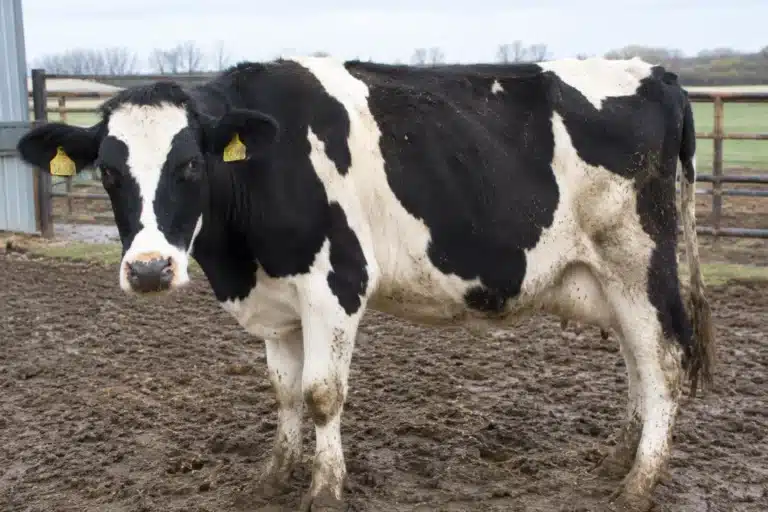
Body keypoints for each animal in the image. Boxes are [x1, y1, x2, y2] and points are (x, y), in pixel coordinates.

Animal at [17, 56, 715, 511]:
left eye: (190, 164)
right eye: (108, 173)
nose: (149, 268)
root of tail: (657, 73)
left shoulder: (334, 284)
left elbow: (323, 394)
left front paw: (324, 491)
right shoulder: (278, 300)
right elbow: (285, 393)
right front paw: (273, 478)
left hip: (640, 261)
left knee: (664, 360)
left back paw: (638, 485)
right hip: (610, 280)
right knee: (638, 360)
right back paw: (618, 459)